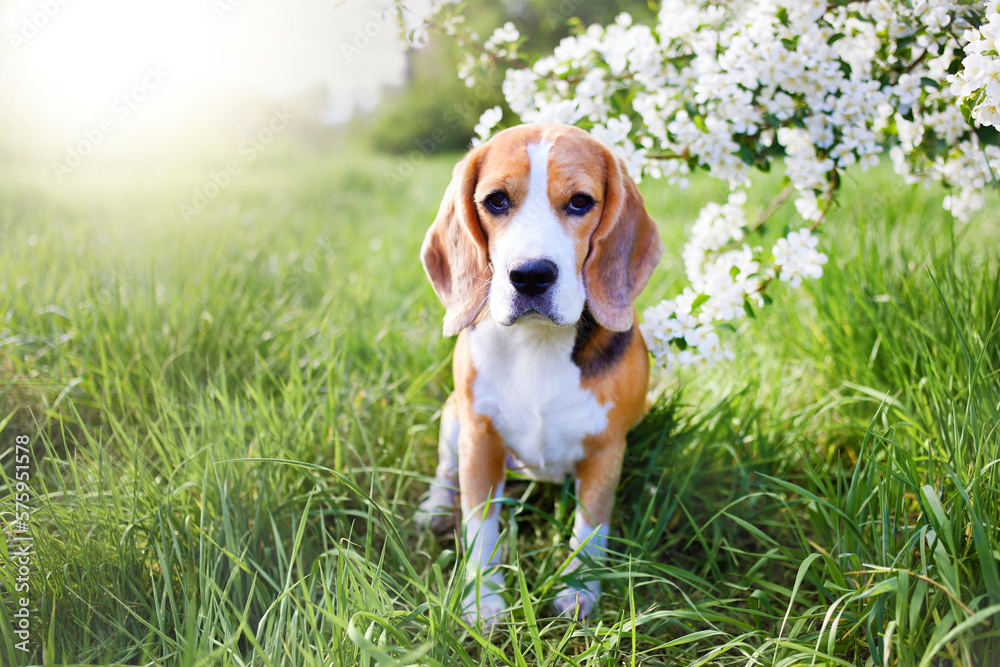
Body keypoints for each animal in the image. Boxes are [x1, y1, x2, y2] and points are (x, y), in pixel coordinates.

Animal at [416, 122, 664, 628]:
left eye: (581, 202)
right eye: (496, 201)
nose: (530, 275)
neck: (538, 343)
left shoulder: (607, 450)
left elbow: (590, 526)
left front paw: (579, 589)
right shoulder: (479, 438)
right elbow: (481, 528)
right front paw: (484, 600)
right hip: (453, 419)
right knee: (446, 469)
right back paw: (435, 507)